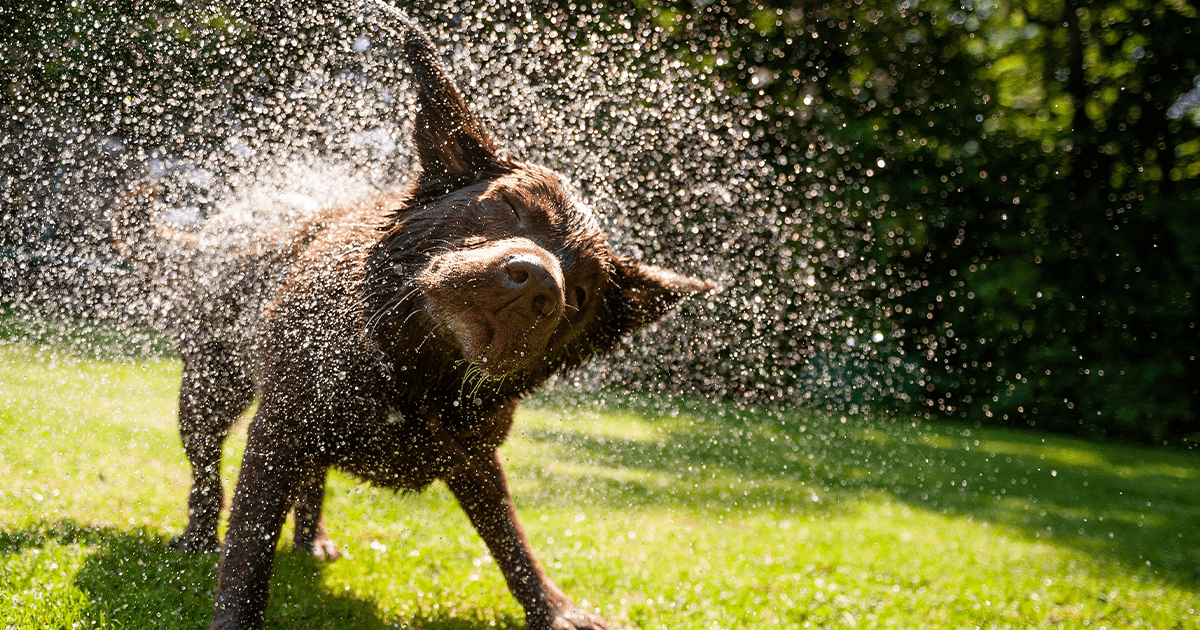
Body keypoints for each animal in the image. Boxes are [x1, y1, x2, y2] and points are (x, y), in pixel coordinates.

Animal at [112, 11, 710, 628]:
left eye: (584, 293)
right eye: (511, 206)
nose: (540, 285)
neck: (412, 371)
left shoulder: (474, 456)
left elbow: (511, 539)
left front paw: (554, 608)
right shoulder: (279, 430)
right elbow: (250, 550)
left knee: (312, 478)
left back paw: (311, 538)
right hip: (210, 388)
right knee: (207, 470)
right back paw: (198, 535)